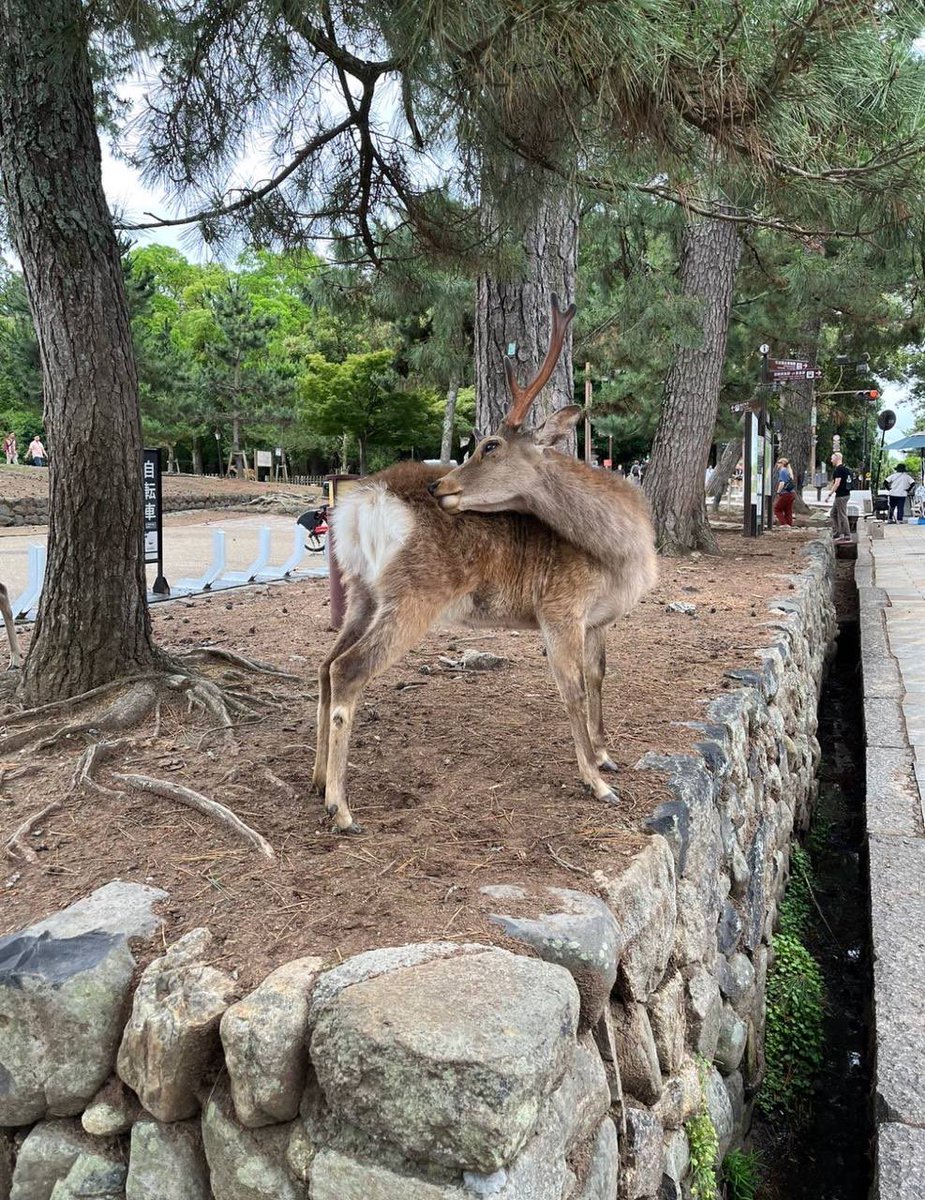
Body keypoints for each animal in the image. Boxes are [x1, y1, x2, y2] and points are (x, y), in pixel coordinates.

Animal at [312, 295, 658, 834]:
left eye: (490, 445)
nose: (439, 486)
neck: (620, 553)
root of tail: (361, 502)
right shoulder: (559, 608)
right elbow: (573, 689)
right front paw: (597, 783)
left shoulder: (599, 618)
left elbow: (599, 676)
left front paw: (606, 755)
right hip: (417, 592)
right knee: (349, 669)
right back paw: (341, 808)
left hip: (362, 591)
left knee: (326, 665)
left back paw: (314, 779)